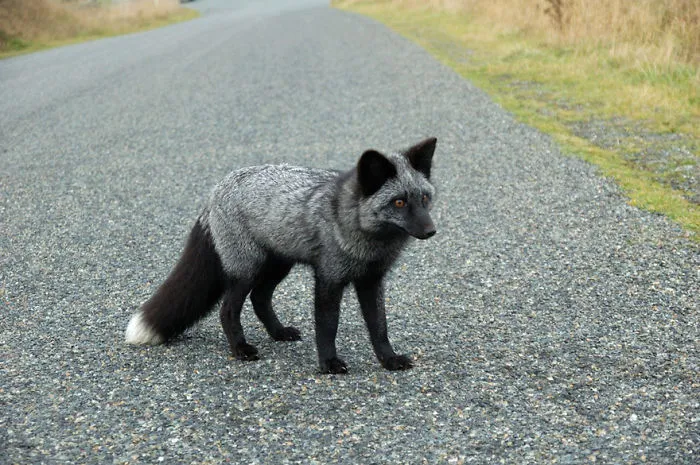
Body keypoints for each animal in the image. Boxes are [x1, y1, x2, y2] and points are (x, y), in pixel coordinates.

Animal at [125, 137, 438, 373]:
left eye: (424, 198)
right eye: (399, 202)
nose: (431, 230)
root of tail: (216, 191)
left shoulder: (371, 281)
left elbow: (379, 326)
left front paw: (389, 360)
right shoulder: (328, 279)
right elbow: (327, 327)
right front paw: (328, 363)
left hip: (278, 266)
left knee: (260, 299)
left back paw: (278, 333)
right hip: (248, 270)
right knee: (228, 310)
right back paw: (240, 349)